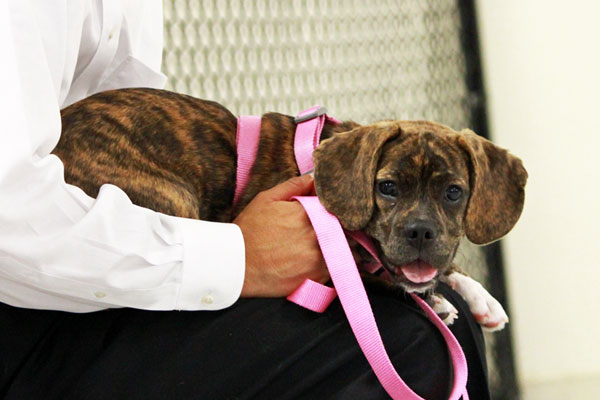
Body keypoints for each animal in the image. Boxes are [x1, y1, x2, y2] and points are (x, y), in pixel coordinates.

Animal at [55, 86, 524, 328]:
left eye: (454, 193)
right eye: (387, 187)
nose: (421, 232)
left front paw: (479, 296)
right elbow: (372, 277)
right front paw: (439, 300)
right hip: (172, 196)